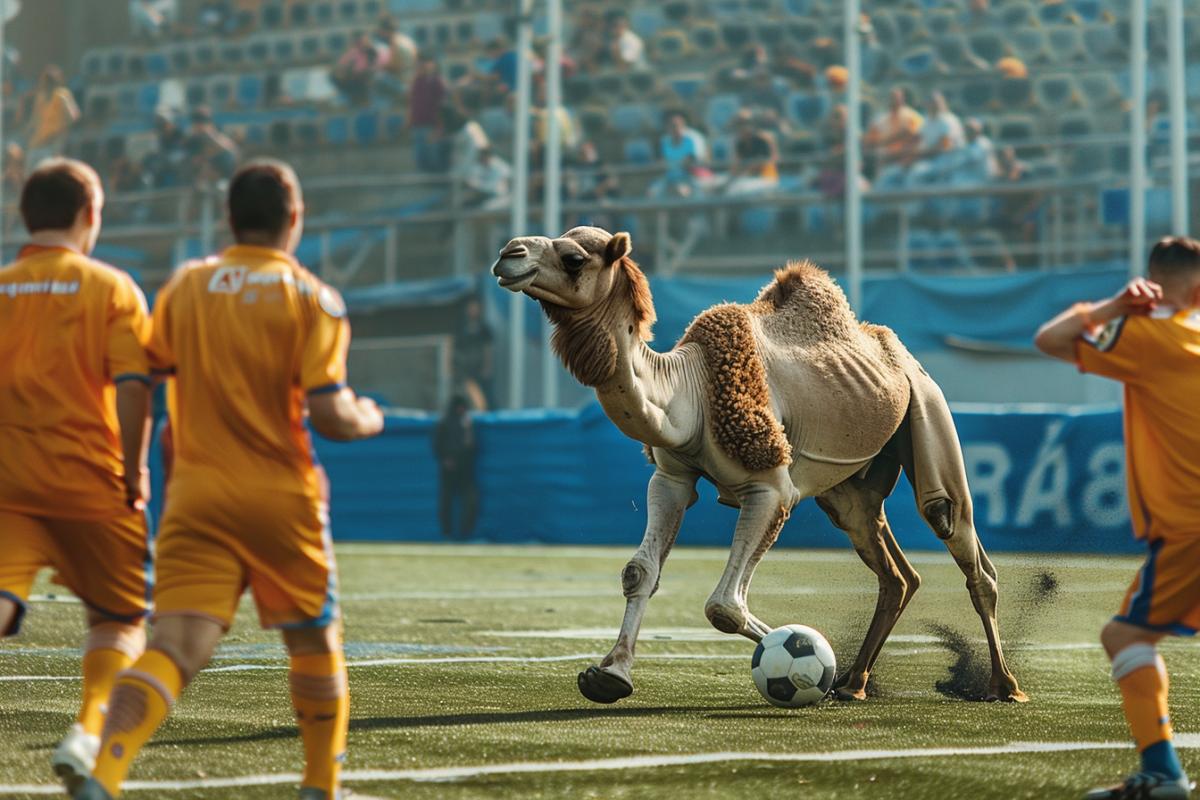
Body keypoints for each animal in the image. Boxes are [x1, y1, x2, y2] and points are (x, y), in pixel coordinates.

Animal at [492, 226, 1026, 705]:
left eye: (574, 257)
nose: (507, 253)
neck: (686, 392)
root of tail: (898, 352)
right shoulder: (672, 475)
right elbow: (639, 573)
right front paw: (610, 675)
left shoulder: (771, 486)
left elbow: (724, 608)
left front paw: (813, 668)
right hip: (850, 490)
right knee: (895, 572)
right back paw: (854, 682)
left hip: (928, 410)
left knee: (955, 529)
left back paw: (1002, 686)